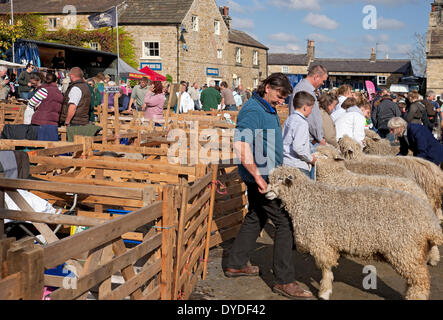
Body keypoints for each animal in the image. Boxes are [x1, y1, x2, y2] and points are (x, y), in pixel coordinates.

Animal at [266, 165, 443, 300]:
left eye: (281, 179)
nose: (266, 191)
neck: (307, 199)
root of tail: (430, 221)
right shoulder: (327, 243)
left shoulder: (320, 241)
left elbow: (325, 268)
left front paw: (324, 292)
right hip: (413, 251)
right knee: (415, 279)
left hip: (405, 249)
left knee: (421, 279)